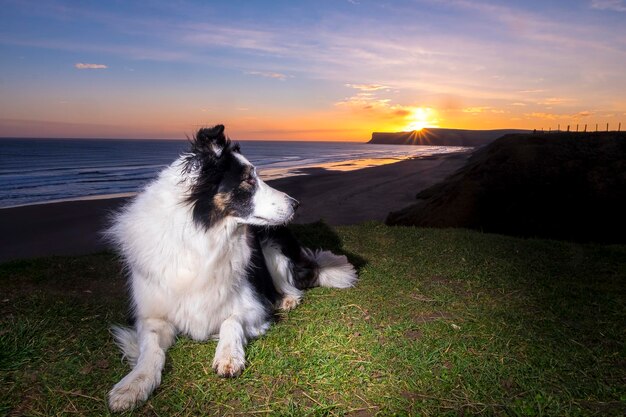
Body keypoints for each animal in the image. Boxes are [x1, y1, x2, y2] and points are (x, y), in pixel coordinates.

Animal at [107, 123, 356, 410]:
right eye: (248, 180)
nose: (296, 204)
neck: (204, 238)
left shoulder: (253, 306)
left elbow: (231, 321)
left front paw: (229, 356)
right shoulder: (152, 314)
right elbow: (150, 348)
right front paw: (133, 384)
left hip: (272, 245)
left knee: (294, 283)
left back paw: (287, 299)